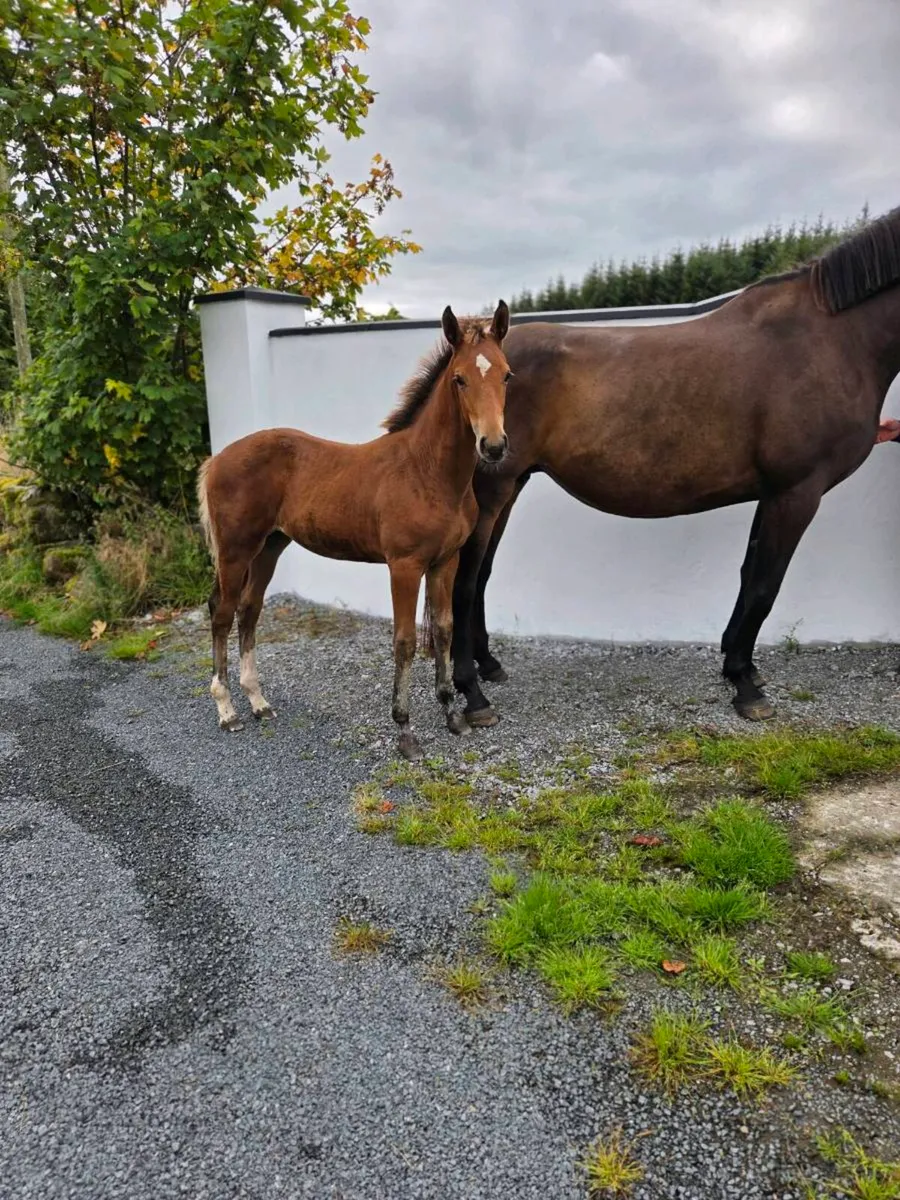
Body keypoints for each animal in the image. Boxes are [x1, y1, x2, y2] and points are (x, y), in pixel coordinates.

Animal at [197, 301, 512, 760]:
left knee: (249, 610)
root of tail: (215, 460)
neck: (428, 471)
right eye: (459, 379)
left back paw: (258, 702)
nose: (493, 446)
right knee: (222, 613)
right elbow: (404, 641)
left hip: (270, 546)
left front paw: (453, 715)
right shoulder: (404, 565)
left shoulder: (445, 561)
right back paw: (227, 710)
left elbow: (443, 630)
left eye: (506, 374)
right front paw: (405, 730)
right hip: (235, 550)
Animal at [448, 205, 900, 724]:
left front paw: (740, 666)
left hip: (509, 485)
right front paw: (746, 686)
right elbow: (765, 586)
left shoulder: (772, 493)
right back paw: (471, 692)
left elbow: (749, 575)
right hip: (493, 490)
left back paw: (488, 665)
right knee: (464, 580)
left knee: (481, 575)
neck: (832, 340)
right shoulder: (797, 492)